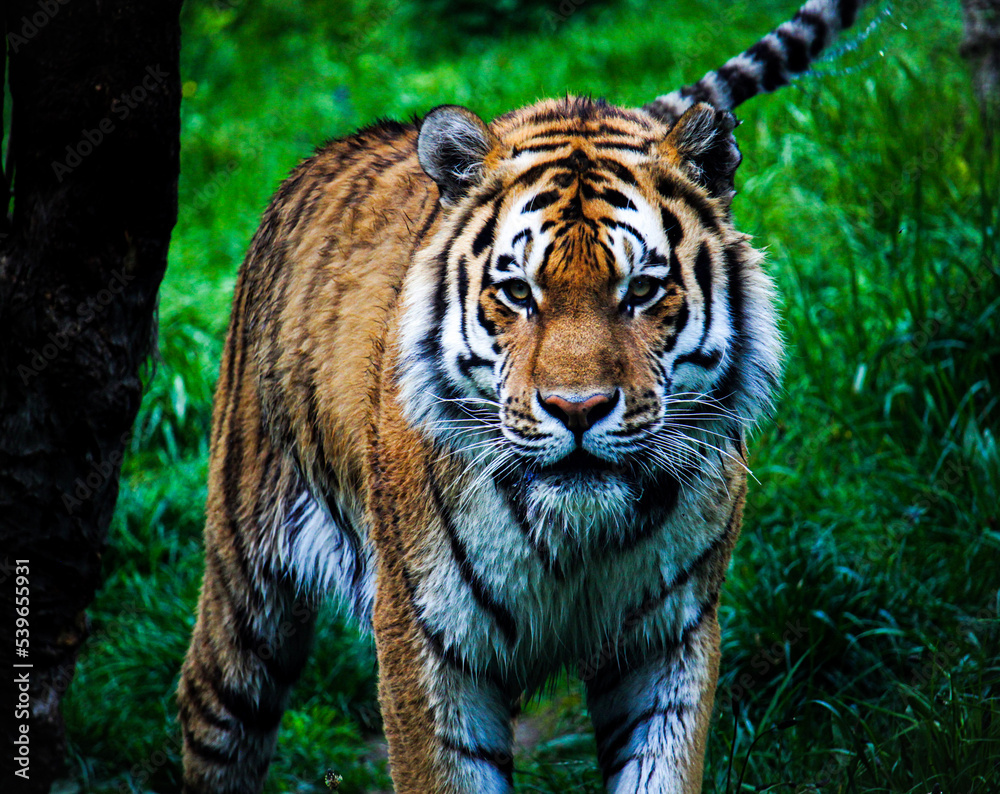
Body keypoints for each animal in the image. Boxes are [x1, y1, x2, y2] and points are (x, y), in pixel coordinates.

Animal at [177, 1, 872, 792]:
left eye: (641, 291)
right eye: (517, 293)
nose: (578, 410)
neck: (578, 541)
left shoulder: (669, 639)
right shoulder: (425, 641)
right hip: (242, 588)